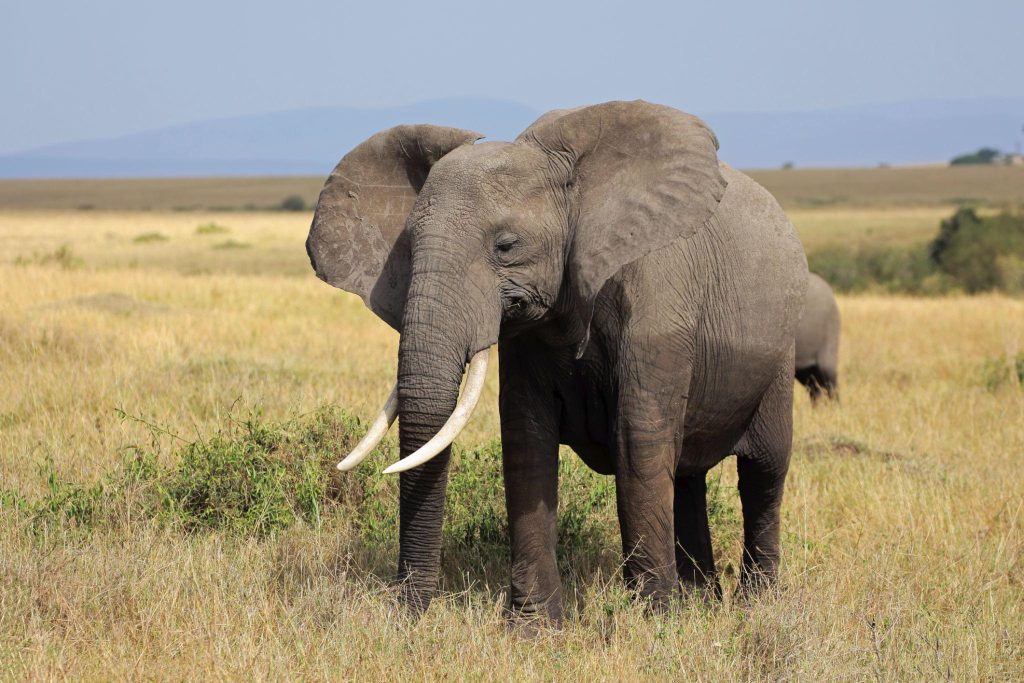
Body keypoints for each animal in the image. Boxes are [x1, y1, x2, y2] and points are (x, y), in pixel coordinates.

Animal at [306, 100, 808, 624]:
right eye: (407, 249)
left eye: (506, 246)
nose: (407, 612)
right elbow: (527, 441)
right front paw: (535, 627)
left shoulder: (658, 305)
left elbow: (638, 441)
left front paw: (655, 624)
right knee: (689, 477)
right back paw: (702, 602)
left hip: (780, 351)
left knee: (764, 472)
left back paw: (757, 607)